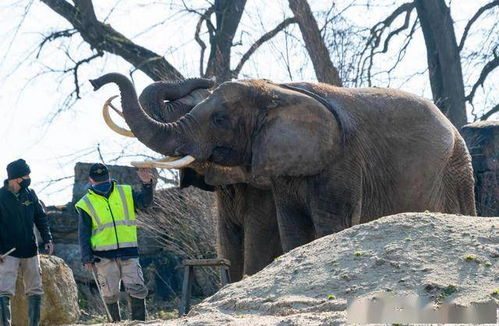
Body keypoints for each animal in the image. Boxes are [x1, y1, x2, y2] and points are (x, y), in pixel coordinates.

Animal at [90, 73, 476, 252]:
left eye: (219, 119)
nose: (95, 82)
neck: (277, 90)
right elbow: (291, 227)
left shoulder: (342, 161)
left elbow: (330, 224)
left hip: (457, 168)